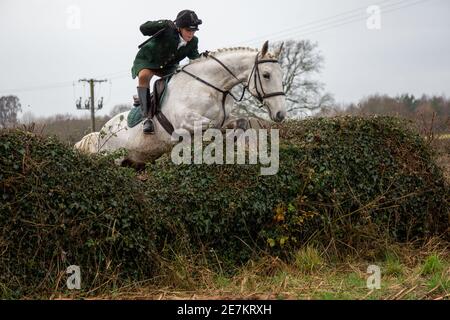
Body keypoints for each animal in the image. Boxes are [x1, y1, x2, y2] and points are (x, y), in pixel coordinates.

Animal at [73, 41, 284, 166]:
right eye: (266, 75)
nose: (280, 114)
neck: (210, 87)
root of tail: (100, 133)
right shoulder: (185, 122)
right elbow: (210, 126)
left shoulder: (225, 118)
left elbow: (241, 122)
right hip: (113, 159)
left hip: (135, 162)